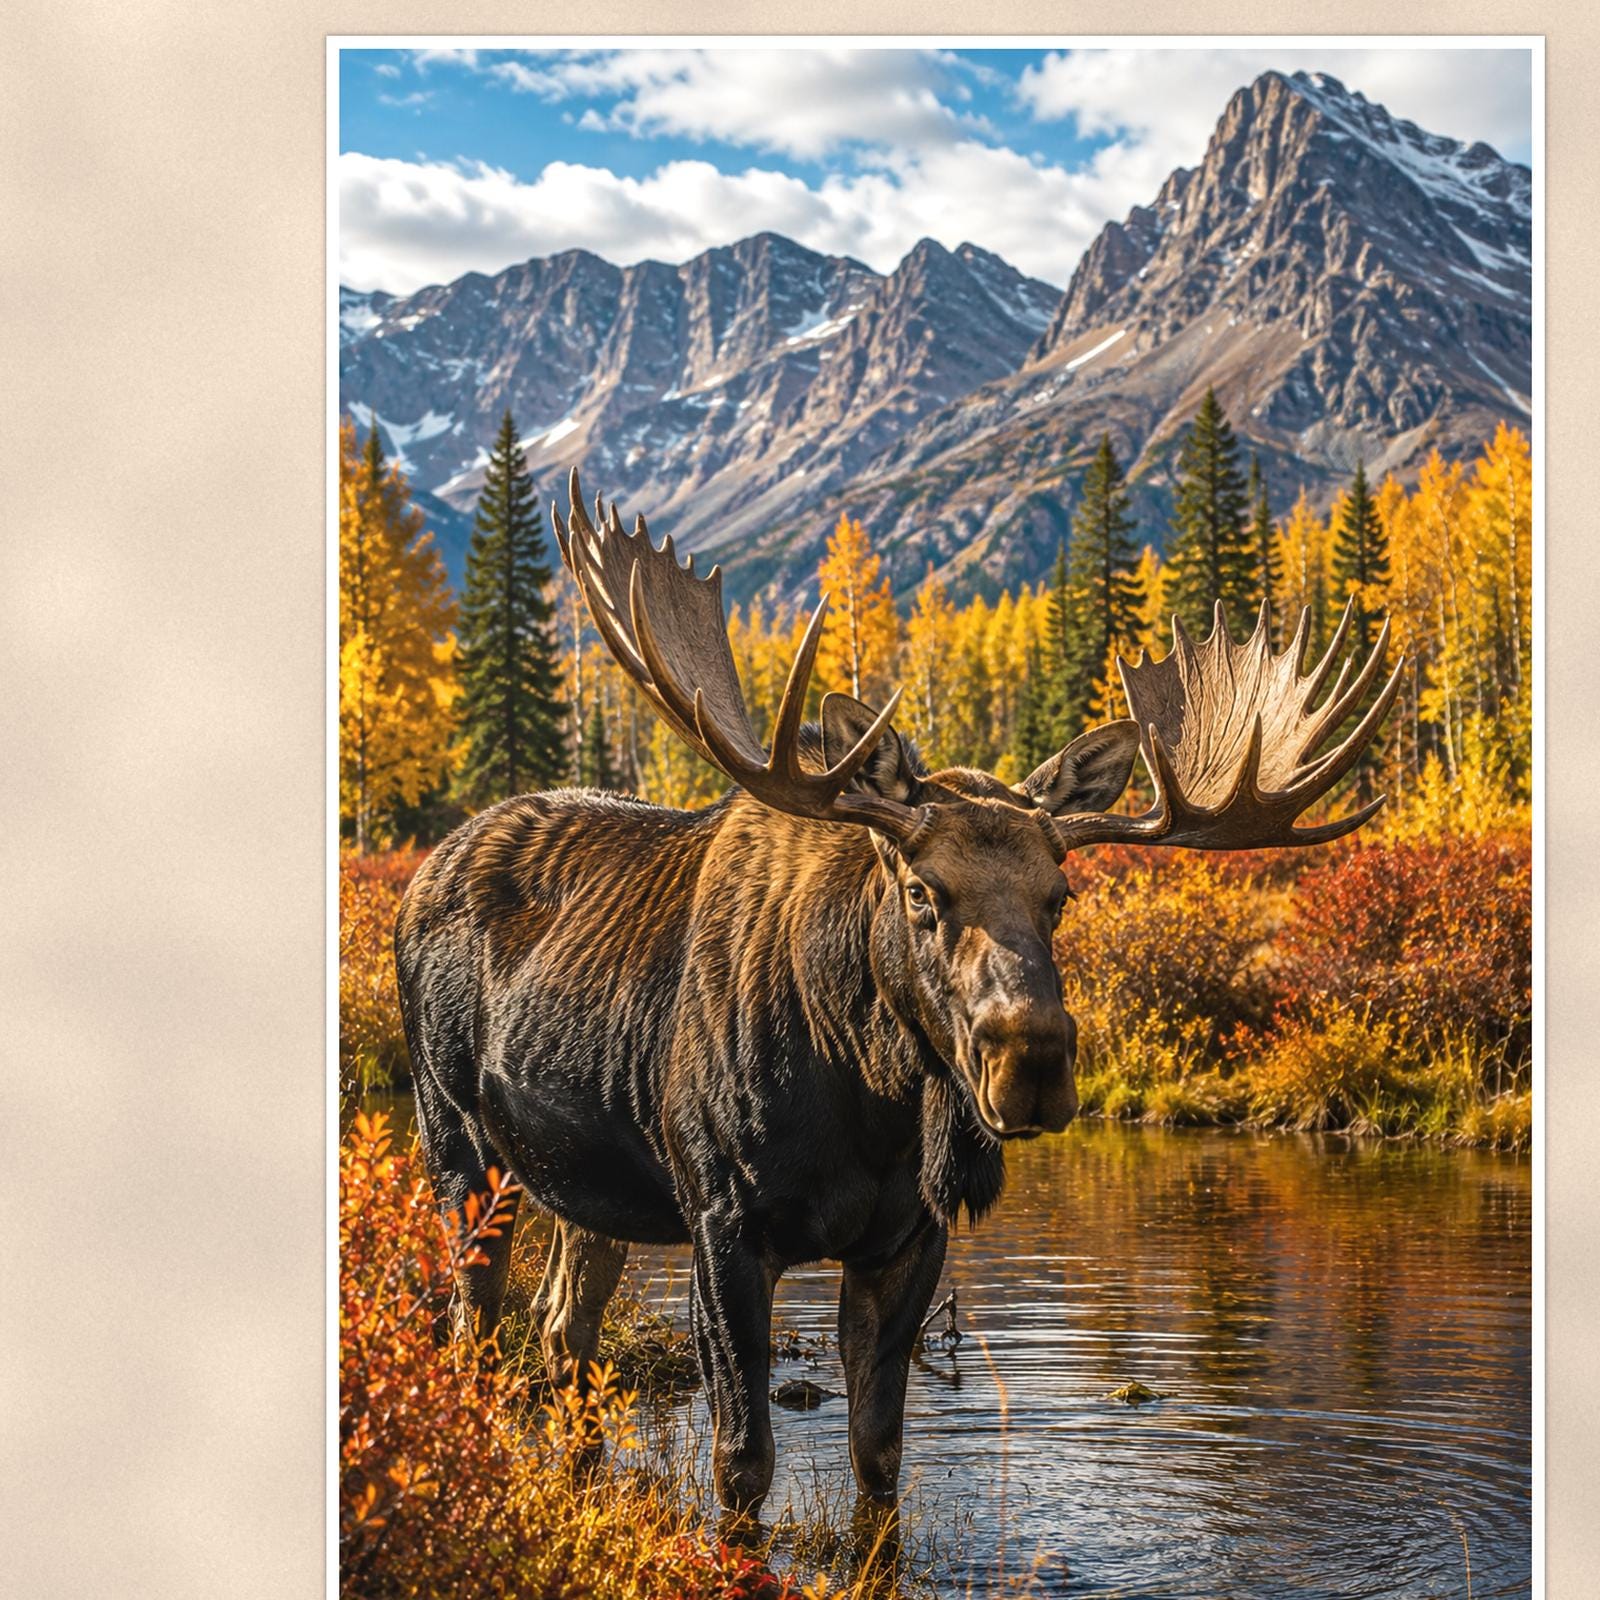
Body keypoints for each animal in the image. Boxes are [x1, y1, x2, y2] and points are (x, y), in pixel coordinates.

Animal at [394, 469, 1402, 1518]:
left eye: (1061, 895)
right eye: (922, 890)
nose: (1031, 1057)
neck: (870, 1102)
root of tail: (422, 871)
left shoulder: (909, 1237)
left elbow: (878, 1454)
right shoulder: (722, 1219)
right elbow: (741, 1462)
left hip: (586, 1181)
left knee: (564, 1333)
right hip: (456, 1141)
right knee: (473, 1331)